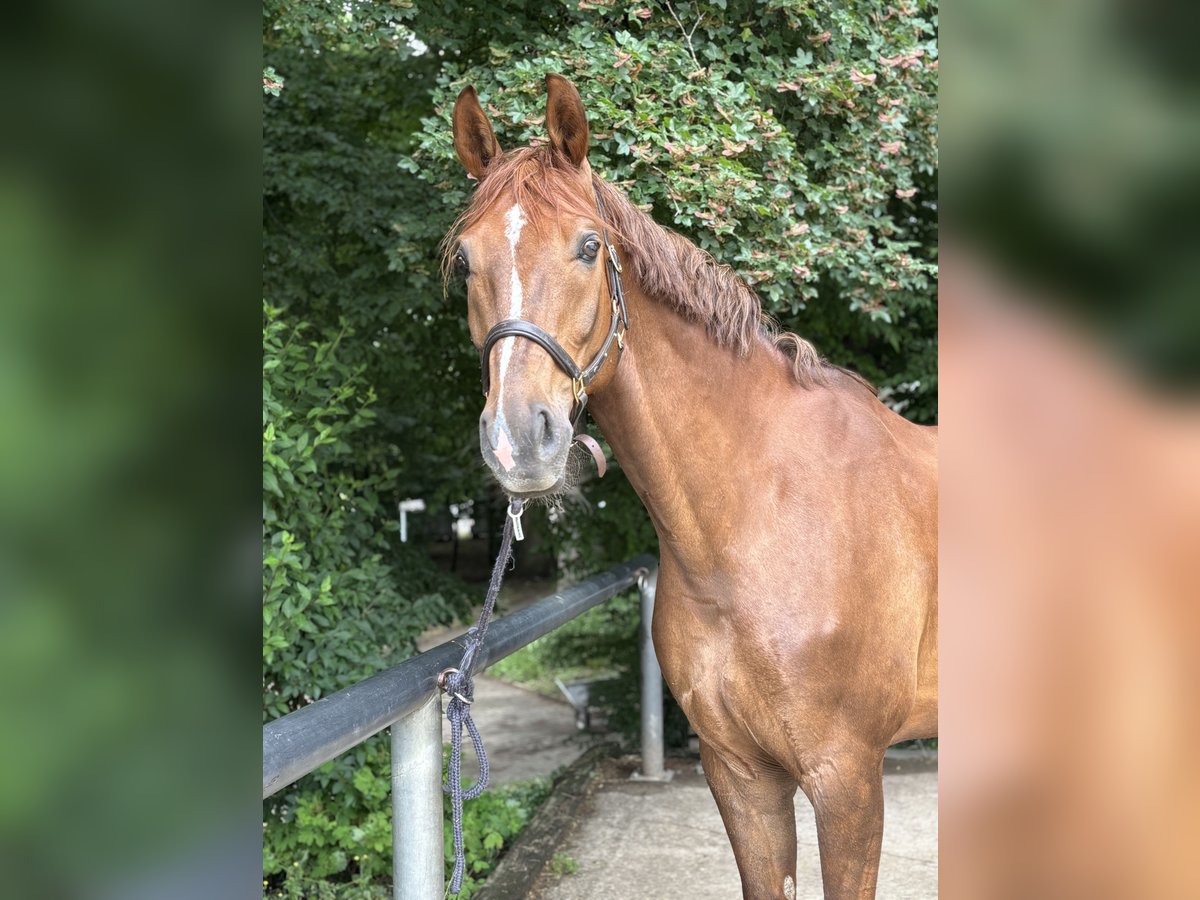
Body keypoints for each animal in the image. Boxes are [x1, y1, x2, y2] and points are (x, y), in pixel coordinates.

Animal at [445, 74, 938, 900]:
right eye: (466, 261)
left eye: (589, 247)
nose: (519, 439)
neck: (755, 515)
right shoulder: (738, 773)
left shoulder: (847, 778)